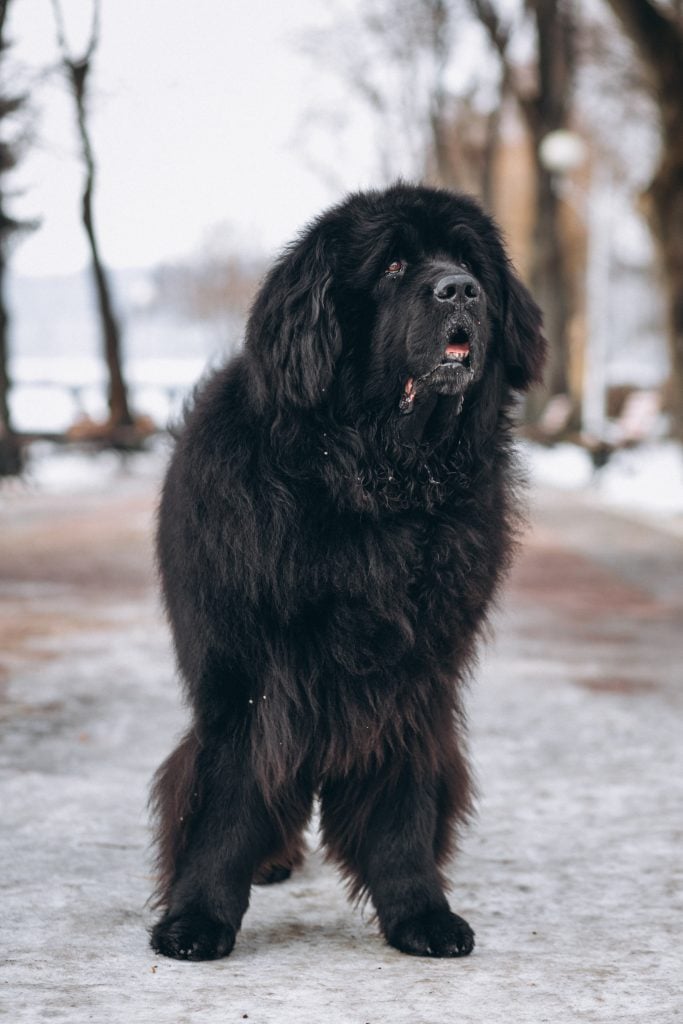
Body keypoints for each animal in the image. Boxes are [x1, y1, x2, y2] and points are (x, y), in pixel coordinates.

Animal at [149, 182, 544, 958]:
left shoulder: (412, 679)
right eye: (392, 266)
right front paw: (196, 918)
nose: (461, 289)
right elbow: (227, 797)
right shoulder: (249, 674)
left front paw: (421, 912)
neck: (376, 486)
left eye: (468, 259)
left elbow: (401, 804)